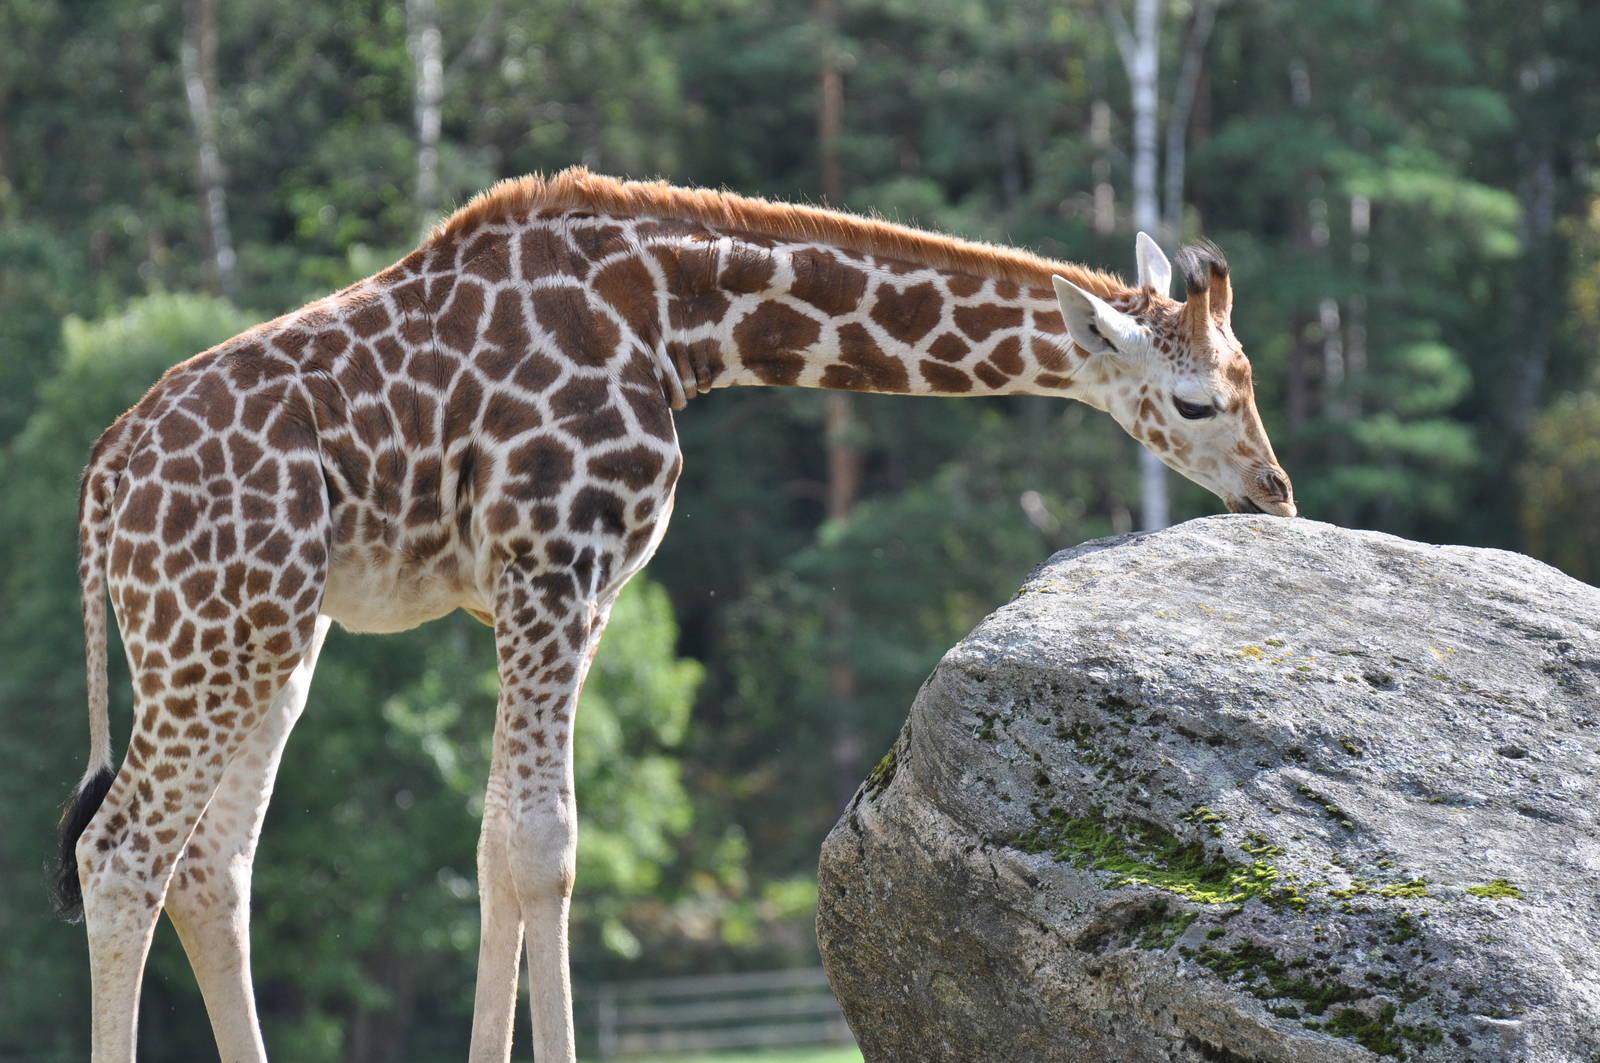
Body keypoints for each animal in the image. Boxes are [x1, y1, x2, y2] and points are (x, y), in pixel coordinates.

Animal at [53, 167, 1295, 1063]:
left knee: (212, 866)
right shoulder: (552, 563)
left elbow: (499, 845)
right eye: (1195, 399)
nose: (1274, 493)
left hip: (274, 637)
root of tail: (105, 477)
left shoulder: (575, 592)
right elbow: (542, 845)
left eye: (1249, 381)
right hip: (216, 629)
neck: (679, 322)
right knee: (121, 850)